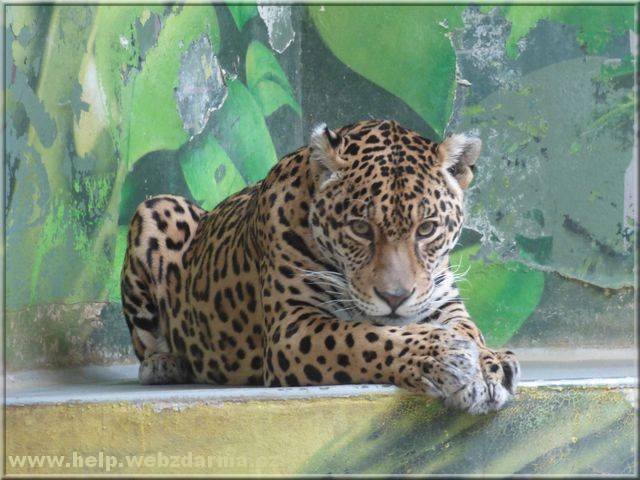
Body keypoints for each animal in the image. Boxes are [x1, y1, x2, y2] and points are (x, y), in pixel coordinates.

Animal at [121, 119, 520, 414]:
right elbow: (366, 337)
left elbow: (469, 331)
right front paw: (443, 356)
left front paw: (488, 366)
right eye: (360, 228)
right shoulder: (291, 327)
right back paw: (165, 364)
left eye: (426, 229)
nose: (395, 298)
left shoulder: (443, 301)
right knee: (145, 345)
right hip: (156, 207)